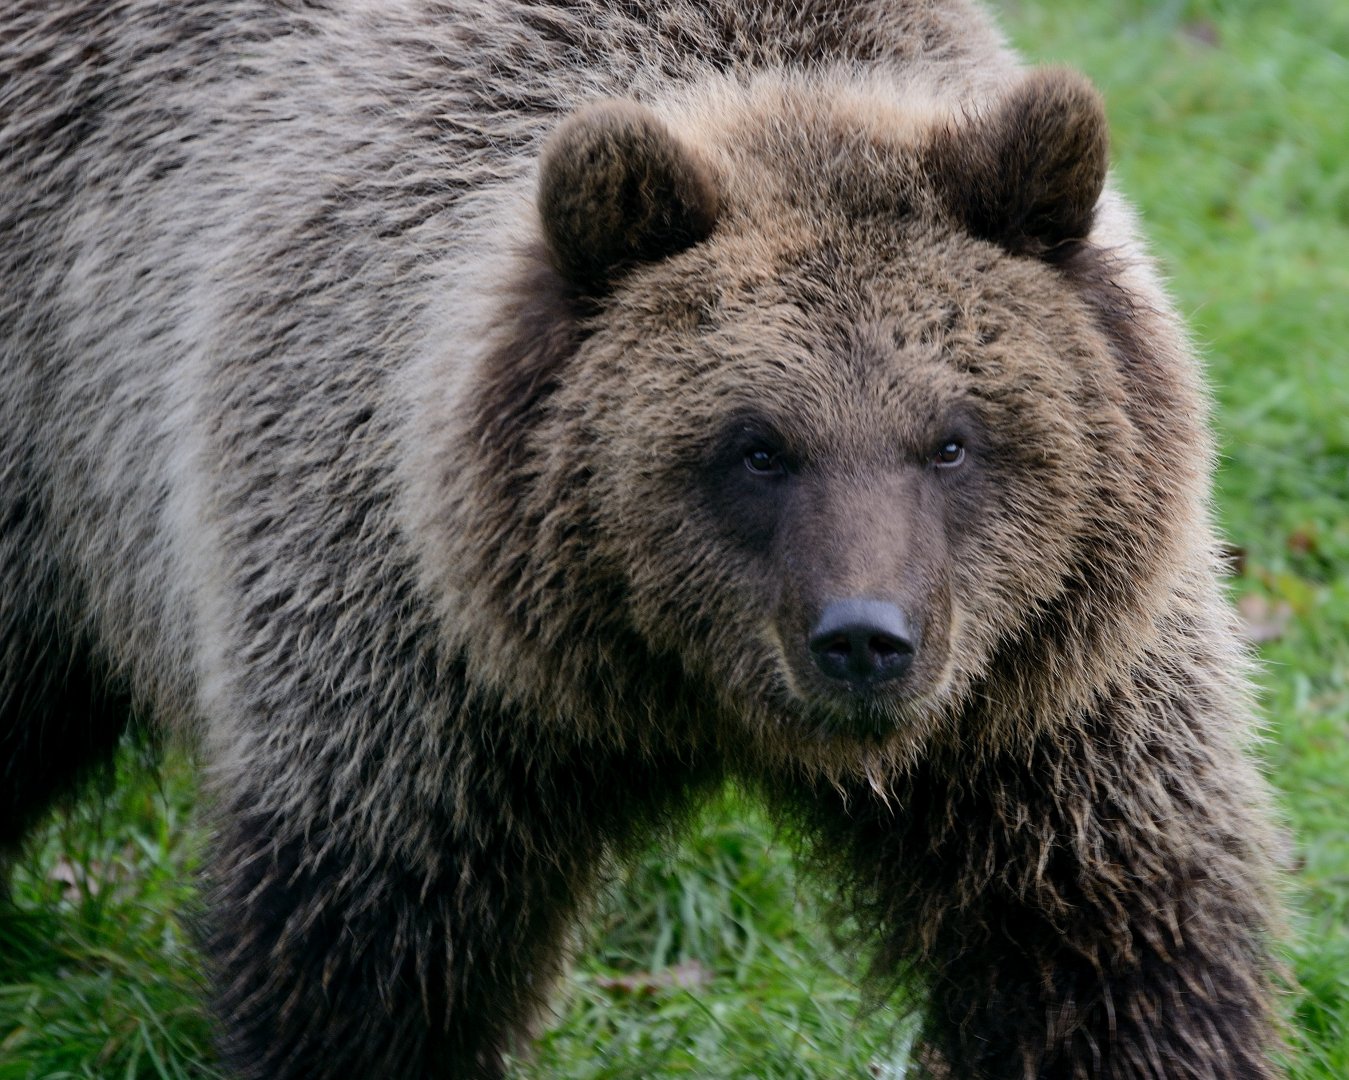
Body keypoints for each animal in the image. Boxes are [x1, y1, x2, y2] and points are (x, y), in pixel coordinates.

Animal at [0, 1, 1284, 1077]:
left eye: (953, 438)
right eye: (756, 446)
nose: (862, 640)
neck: (672, 699)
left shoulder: (1037, 698)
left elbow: (1100, 936)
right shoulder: (416, 656)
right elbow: (379, 952)